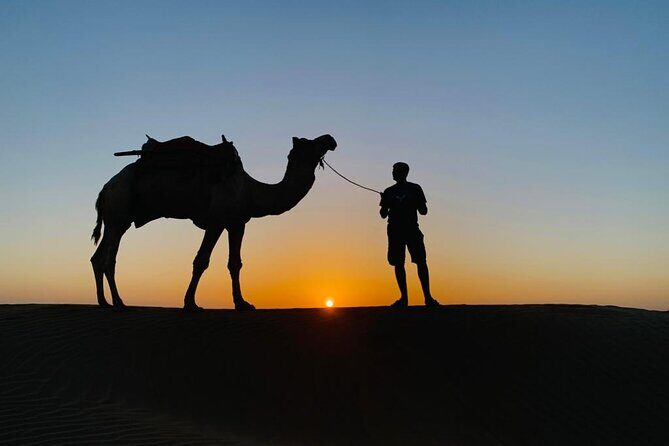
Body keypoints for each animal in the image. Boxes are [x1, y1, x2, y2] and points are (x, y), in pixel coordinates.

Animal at [91, 133, 337, 310]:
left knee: (97, 257)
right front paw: (191, 303)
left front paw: (242, 303)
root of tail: (104, 189)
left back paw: (104, 302)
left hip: (114, 220)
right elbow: (202, 261)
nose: (329, 139)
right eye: (308, 142)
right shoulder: (217, 221)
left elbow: (234, 263)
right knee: (109, 259)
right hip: (120, 211)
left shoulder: (236, 223)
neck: (251, 191)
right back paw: (119, 303)